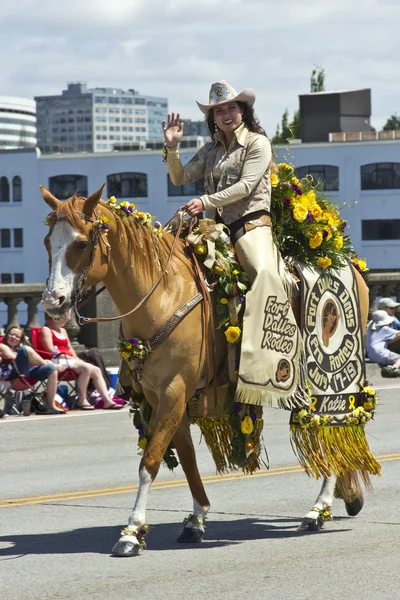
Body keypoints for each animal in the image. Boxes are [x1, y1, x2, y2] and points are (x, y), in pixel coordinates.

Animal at [39, 186, 368, 556]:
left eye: (81, 244)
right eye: (48, 241)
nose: (52, 302)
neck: (162, 295)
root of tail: (347, 263)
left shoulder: (174, 391)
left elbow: (149, 462)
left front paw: (131, 532)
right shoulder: (162, 397)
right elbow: (186, 458)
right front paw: (196, 519)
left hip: (322, 384)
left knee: (328, 429)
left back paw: (319, 508)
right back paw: (344, 497)